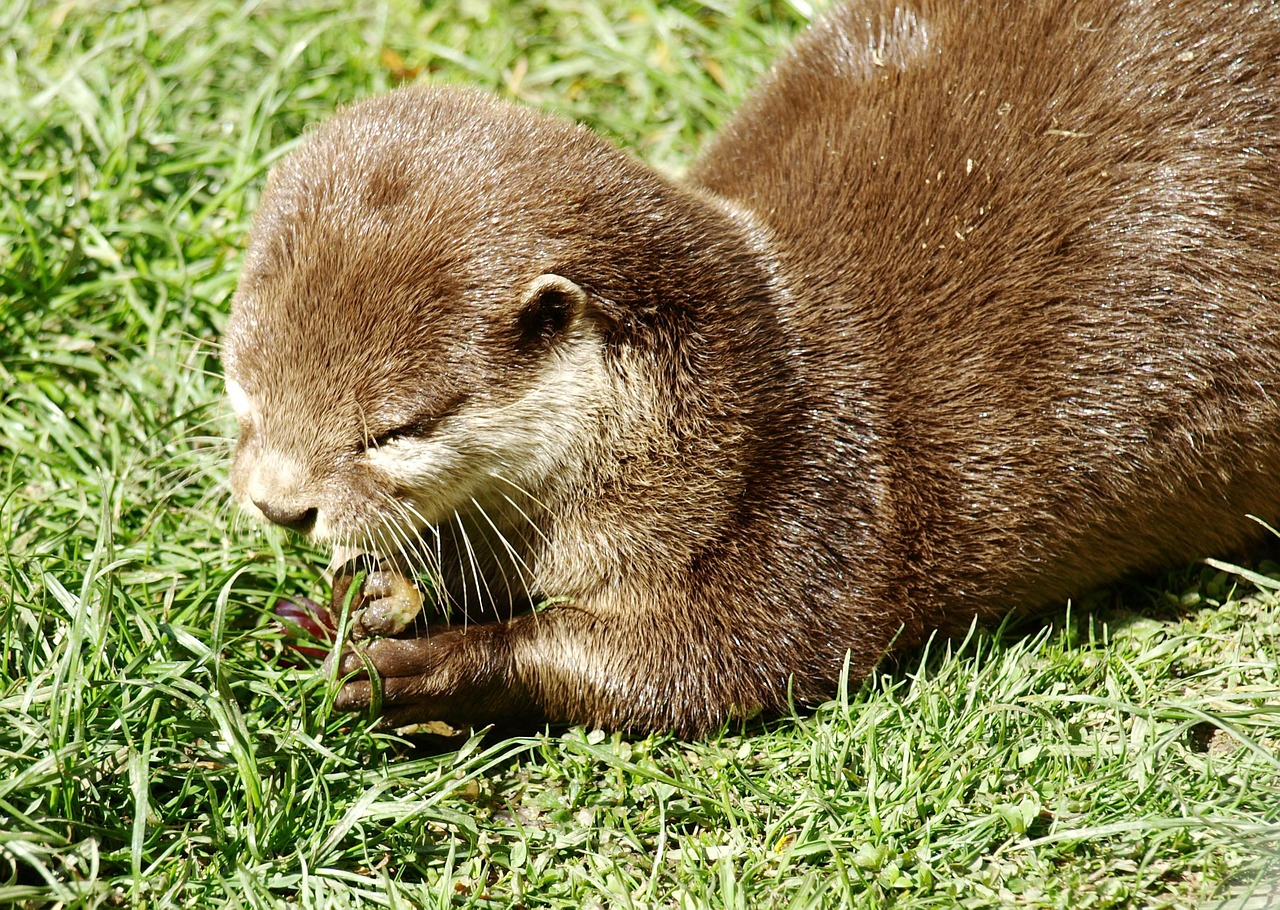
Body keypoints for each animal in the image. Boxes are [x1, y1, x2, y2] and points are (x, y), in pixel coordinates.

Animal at [222, 0, 1280, 742]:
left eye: (395, 430)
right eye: (244, 392)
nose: (279, 506)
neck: (726, 423)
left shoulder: (801, 515)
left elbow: (712, 664)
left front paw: (435, 664)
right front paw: (364, 599)